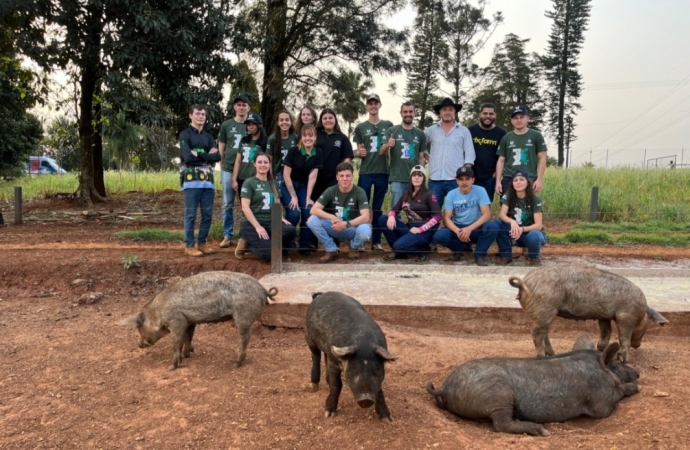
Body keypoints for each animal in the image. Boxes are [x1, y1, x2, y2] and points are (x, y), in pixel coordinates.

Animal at [119, 270, 276, 370]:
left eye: (139, 327)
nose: (139, 345)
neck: (158, 312)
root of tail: (263, 290)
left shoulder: (176, 320)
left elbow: (176, 342)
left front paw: (171, 367)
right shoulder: (189, 322)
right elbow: (188, 337)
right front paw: (187, 355)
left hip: (243, 315)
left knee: (246, 336)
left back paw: (235, 363)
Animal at [306, 292, 398, 422]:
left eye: (377, 370)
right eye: (354, 368)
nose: (366, 398)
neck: (364, 343)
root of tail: (321, 294)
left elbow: (380, 390)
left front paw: (388, 419)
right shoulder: (334, 362)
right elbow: (336, 385)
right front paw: (329, 413)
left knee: (324, 357)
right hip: (309, 337)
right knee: (316, 356)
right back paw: (314, 386)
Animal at [424, 342, 640, 438]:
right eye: (618, 363)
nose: (637, 372)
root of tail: (445, 388)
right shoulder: (600, 403)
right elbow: (617, 393)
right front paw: (636, 387)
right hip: (498, 396)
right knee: (501, 424)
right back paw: (541, 431)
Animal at [508, 266, 664, 364]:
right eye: (647, 326)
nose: (638, 345)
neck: (641, 311)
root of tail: (524, 282)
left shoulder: (604, 316)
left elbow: (606, 332)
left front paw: (601, 350)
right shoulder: (627, 316)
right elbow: (623, 337)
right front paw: (625, 361)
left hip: (544, 313)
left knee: (543, 333)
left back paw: (552, 354)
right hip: (545, 307)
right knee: (536, 333)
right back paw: (542, 357)